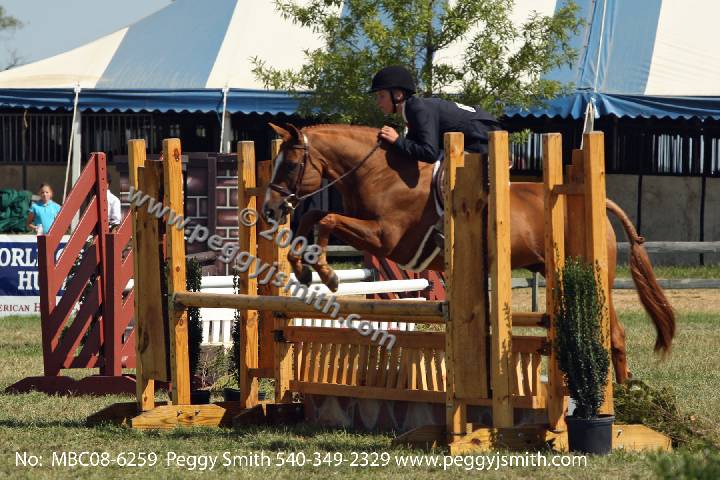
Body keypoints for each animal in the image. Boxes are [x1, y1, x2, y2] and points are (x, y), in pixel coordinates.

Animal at [261, 122, 676, 384]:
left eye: (293, 165)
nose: (269, 209)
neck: (378, 173)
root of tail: (597, 200)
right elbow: (314, 216)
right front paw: (302, 268)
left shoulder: (386, 238)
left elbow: (328, 218)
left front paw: (326, 273)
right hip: (553, 271)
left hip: (592, 274)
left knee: (615, 335)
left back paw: (620, 401)